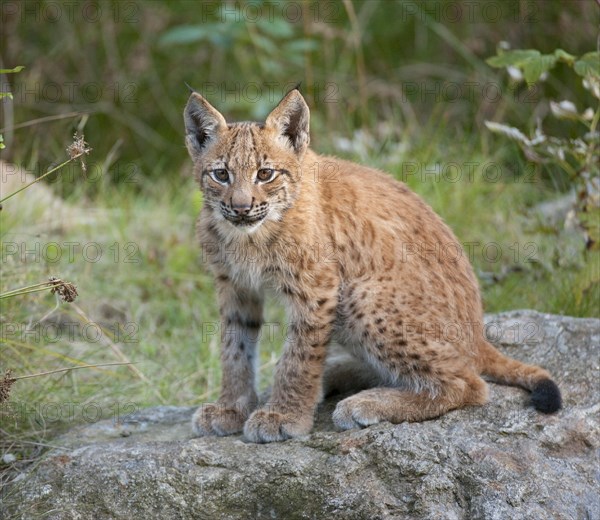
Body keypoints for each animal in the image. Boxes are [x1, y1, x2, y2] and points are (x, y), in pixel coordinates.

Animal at [183, 86, 564, 442]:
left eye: (265, 174)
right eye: (220, 175)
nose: (241, 207)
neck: (248, 235)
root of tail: (479, 334)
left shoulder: (317, 287)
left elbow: (299, 355)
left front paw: (285, 416)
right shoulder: (235, 286)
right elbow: (234, 348)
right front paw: (232, 408)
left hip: (361, 294)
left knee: (470, 384)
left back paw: (365, 402)